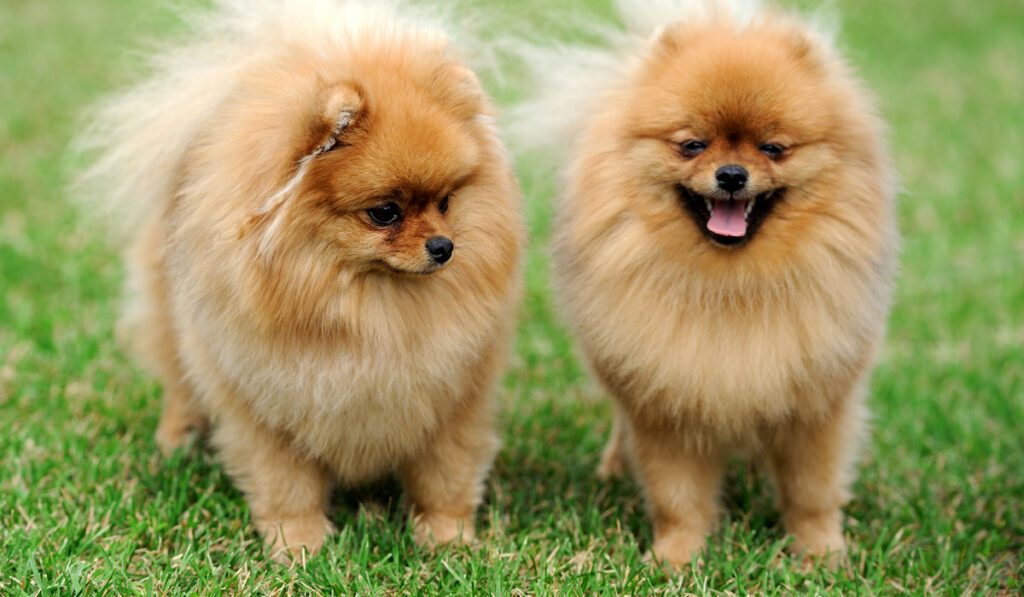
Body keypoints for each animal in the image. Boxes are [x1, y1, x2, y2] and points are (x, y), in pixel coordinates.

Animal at [76, 0, 524, 561]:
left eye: (445, 202)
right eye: (385, 212)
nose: (444, 247)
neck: (371, 310)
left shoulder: (455, 401)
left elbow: (445, 475)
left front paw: (447, 540)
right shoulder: (266, 406)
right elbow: (284, 482)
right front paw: (300, 546)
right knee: (179, 379)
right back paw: (176, 441)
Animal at [516, 0, 892, 569]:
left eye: (773, 148)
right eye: (691, 146)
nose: (732, 174)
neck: (731, 284)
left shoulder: (817, 401)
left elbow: (812, 490)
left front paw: (821, 555)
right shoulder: (666, 399)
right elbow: (679, 496)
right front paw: (676, 558)